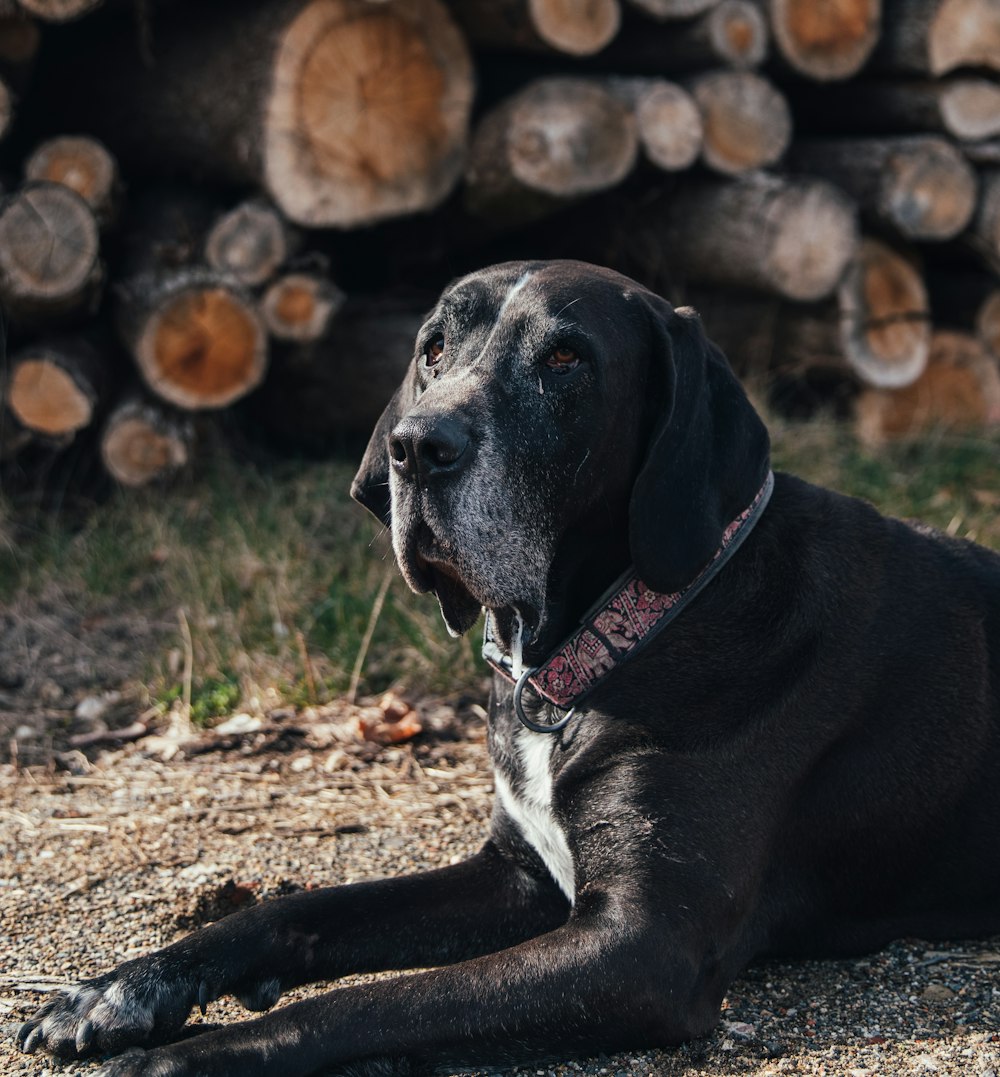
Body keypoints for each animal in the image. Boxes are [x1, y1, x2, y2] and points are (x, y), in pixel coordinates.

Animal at [15, 260, 998, 1077]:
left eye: (565, 359)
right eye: (432, 348)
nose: (416, 446)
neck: (608, 640)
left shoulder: (642, 946)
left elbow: (371, 1002)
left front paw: (181, 1057)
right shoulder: (516, 873)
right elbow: (292, 909)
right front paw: (120, 989)